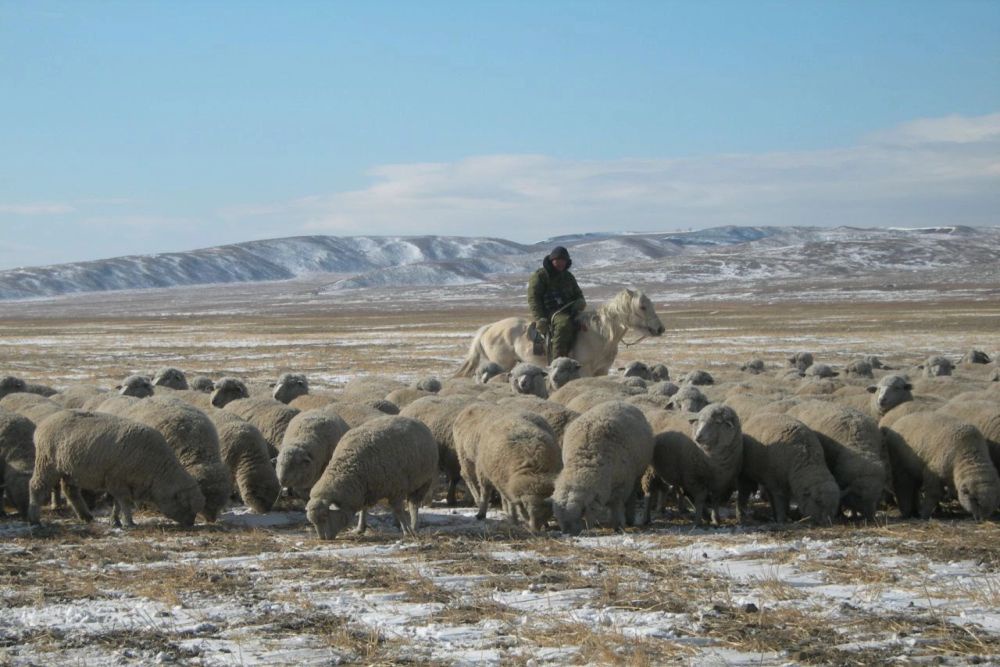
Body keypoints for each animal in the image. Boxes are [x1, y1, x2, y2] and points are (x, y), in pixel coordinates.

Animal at [27, 410, 204, 528]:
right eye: (186, 505)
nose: (191, 523)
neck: (156, 469)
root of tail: (42, 425)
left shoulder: (118, 482)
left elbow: (117, 503)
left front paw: (116, 521)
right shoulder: (117, 480)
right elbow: (124, 502)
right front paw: (129, 522)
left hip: (69, 470)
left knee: (70, 491)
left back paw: (86, 516)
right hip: (47, 462)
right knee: (37, 486)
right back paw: (34, 518)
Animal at [304, 414, 438, 540]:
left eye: (325, 516)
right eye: (313, 522)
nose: (324, 538)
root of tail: (416, 421)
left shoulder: (396, 489)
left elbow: (398, 510)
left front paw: (407, 530)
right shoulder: (365, 489)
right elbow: (363, 509)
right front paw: (360, 528)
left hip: (424, 482)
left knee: (413, 505)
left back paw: (414, 527)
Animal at [454, 288, 664, 378]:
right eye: (642, 306)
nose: (660, 329)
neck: (600, 334)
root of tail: (488, 328)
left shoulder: (601, 371)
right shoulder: (585, 370)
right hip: (501, 364)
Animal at [552, 400, 652, 536]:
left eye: (580, 512)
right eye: (558, 518)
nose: (568, 533)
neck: (585, 462)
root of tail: (619, 401)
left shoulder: (621, 487)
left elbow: (617, 506)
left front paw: (619, 526)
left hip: (637, 475)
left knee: (632, 496)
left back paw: (630, 518)